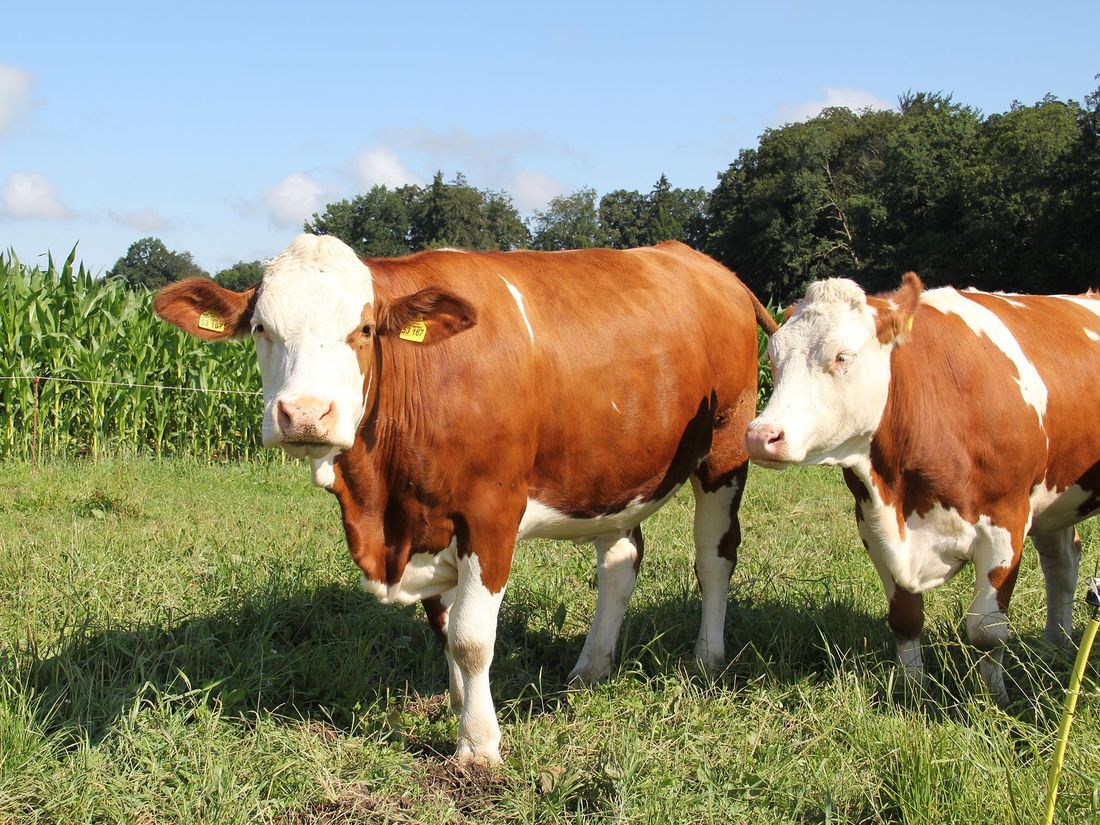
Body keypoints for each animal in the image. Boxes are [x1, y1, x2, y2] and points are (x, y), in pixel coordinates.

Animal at [154, 233, 776, 763]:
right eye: (261, 328)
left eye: (364, 329)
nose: (305, 415)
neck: (381, 508)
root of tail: (710, 266)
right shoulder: (427, 523)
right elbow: (444, 627)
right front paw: (456, 706)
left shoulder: (491, 512)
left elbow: (472, 638)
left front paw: (478, 744)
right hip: (613, 469)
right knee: (622, 561)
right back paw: (591, 668)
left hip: (726, 446)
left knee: (714, 556)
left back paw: (707, 658)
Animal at [745, 272, 1099, 701]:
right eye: (772, 357)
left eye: (842, 357)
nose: (761, 436)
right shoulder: (874, 523)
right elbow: (905, 618)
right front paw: (911, 692)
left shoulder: (1006, 520)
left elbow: (986, 630)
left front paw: (992, 699)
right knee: (1062, 561)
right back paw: (1056, 645)